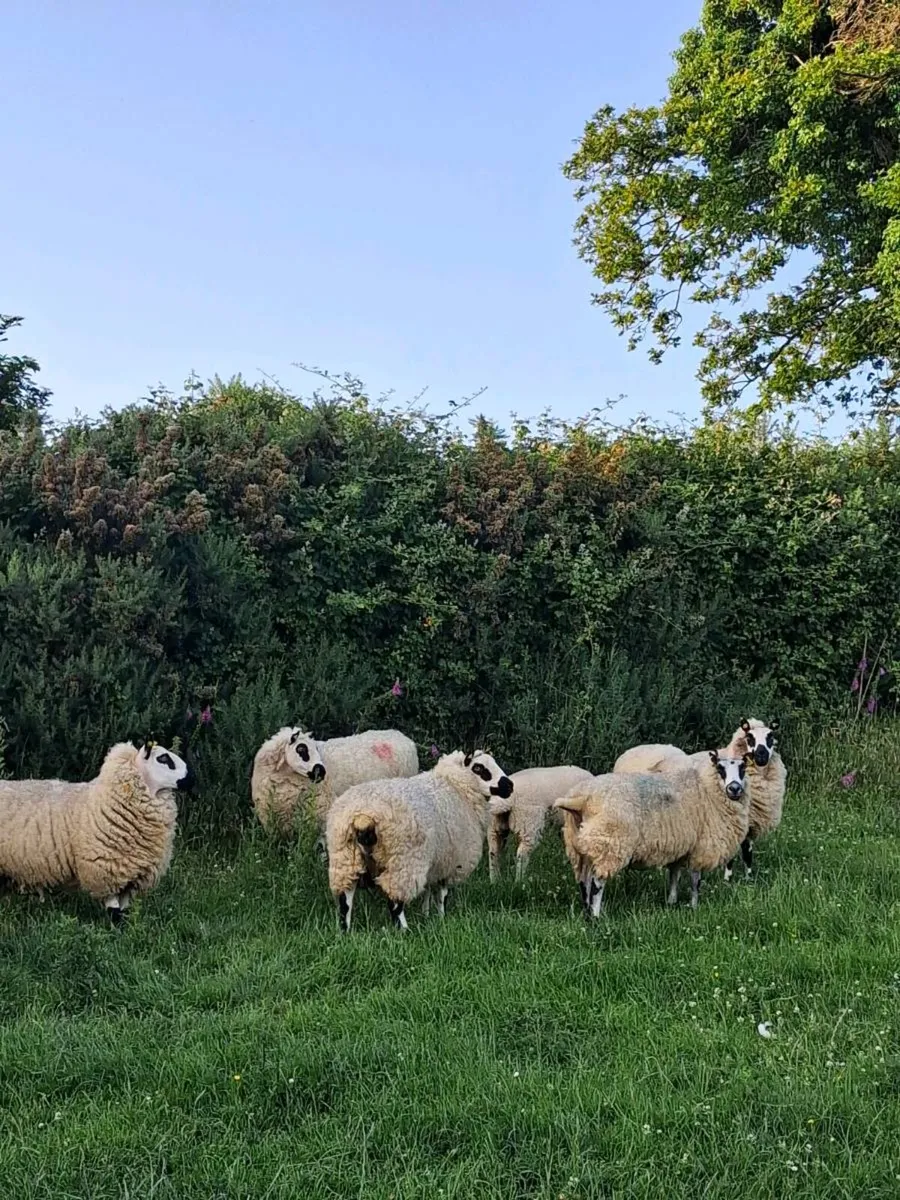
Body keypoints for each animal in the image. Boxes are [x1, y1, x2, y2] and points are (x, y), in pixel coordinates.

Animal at [0, 741, 191, 923]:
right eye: (163, 759)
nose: (192, 779)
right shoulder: (105, 869)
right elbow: (114, 910)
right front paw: (117, 928)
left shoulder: (132, 876)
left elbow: (124, 908)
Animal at [326, 749, 513, 932]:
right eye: (479, 768)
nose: (509, 786)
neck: (456, 788)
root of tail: (363, 817)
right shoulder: (450, 862)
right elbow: (442, 895)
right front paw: (442, 917)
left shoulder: (435, 862)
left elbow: (428, 891)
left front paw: (426, 914)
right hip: (403, 863)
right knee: (395, 903)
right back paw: (405, 931)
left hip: (345, 859)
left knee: (345, 901)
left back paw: (345, 932)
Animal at [553, 750, 752, 917]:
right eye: (720, 768)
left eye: (743, 768)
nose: (735, 788)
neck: (707, 788)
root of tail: (582, 799)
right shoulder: (701, 848)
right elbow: (695, 881)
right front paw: (694, 906)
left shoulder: (680, 847)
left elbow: (674, 875)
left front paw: (671, 902)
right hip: (609, 844)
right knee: (597, 883)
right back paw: (596, 916)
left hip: (582, 847)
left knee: (584, 882)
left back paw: (586, 913)